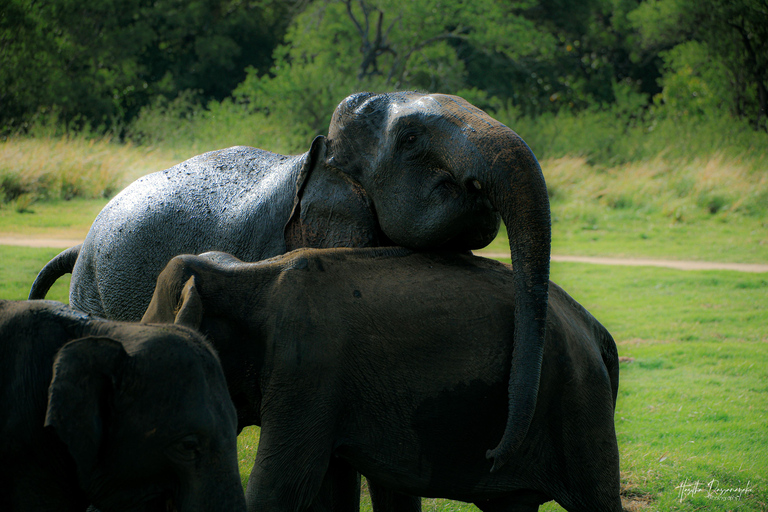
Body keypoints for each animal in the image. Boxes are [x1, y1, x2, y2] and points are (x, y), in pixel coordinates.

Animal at [140, 247, 621, 512]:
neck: (242, 274)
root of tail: (593, 327)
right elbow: (324, 491)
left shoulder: (307, 366)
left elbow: (283, 486)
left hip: (577, 401)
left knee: (596, 498)